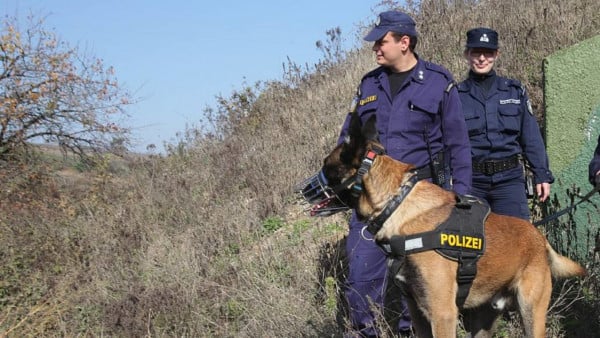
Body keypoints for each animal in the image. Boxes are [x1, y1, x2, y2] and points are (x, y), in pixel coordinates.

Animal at [300, 114, 584, 338]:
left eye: (326, 166)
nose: (301, 190)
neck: (397, 204)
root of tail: (539, 236)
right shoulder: (417, 312)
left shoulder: (442, 313)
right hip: (484, 319)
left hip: (531, 313)